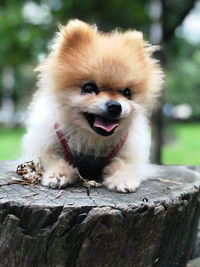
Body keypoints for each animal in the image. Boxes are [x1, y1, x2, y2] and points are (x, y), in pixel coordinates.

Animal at [22, 19, 164, 194]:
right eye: (89, 88)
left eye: (127, 92)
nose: (115, 106)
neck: (91, 140)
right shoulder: (45, 145)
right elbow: (52, 159)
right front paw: (58, 174)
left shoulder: (130, 154)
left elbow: (123, 163)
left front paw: (122, 179)